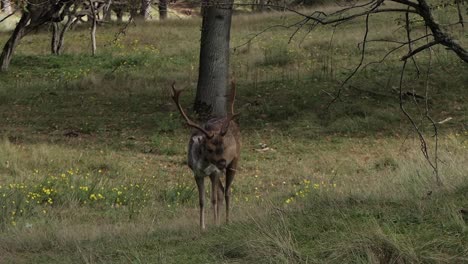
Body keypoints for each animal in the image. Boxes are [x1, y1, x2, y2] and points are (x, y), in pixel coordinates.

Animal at [170, 81, 239, 230]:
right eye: (209, 148)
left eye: (222, 147)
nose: (223, 162)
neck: (205, 166)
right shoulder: (197, 174)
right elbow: (202, 200)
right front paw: (202, 227)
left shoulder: (215, 172)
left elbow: (213, 199)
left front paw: (215, 224)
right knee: (222, 190)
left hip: (235, 161)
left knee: (227, 191)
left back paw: (227, 221)